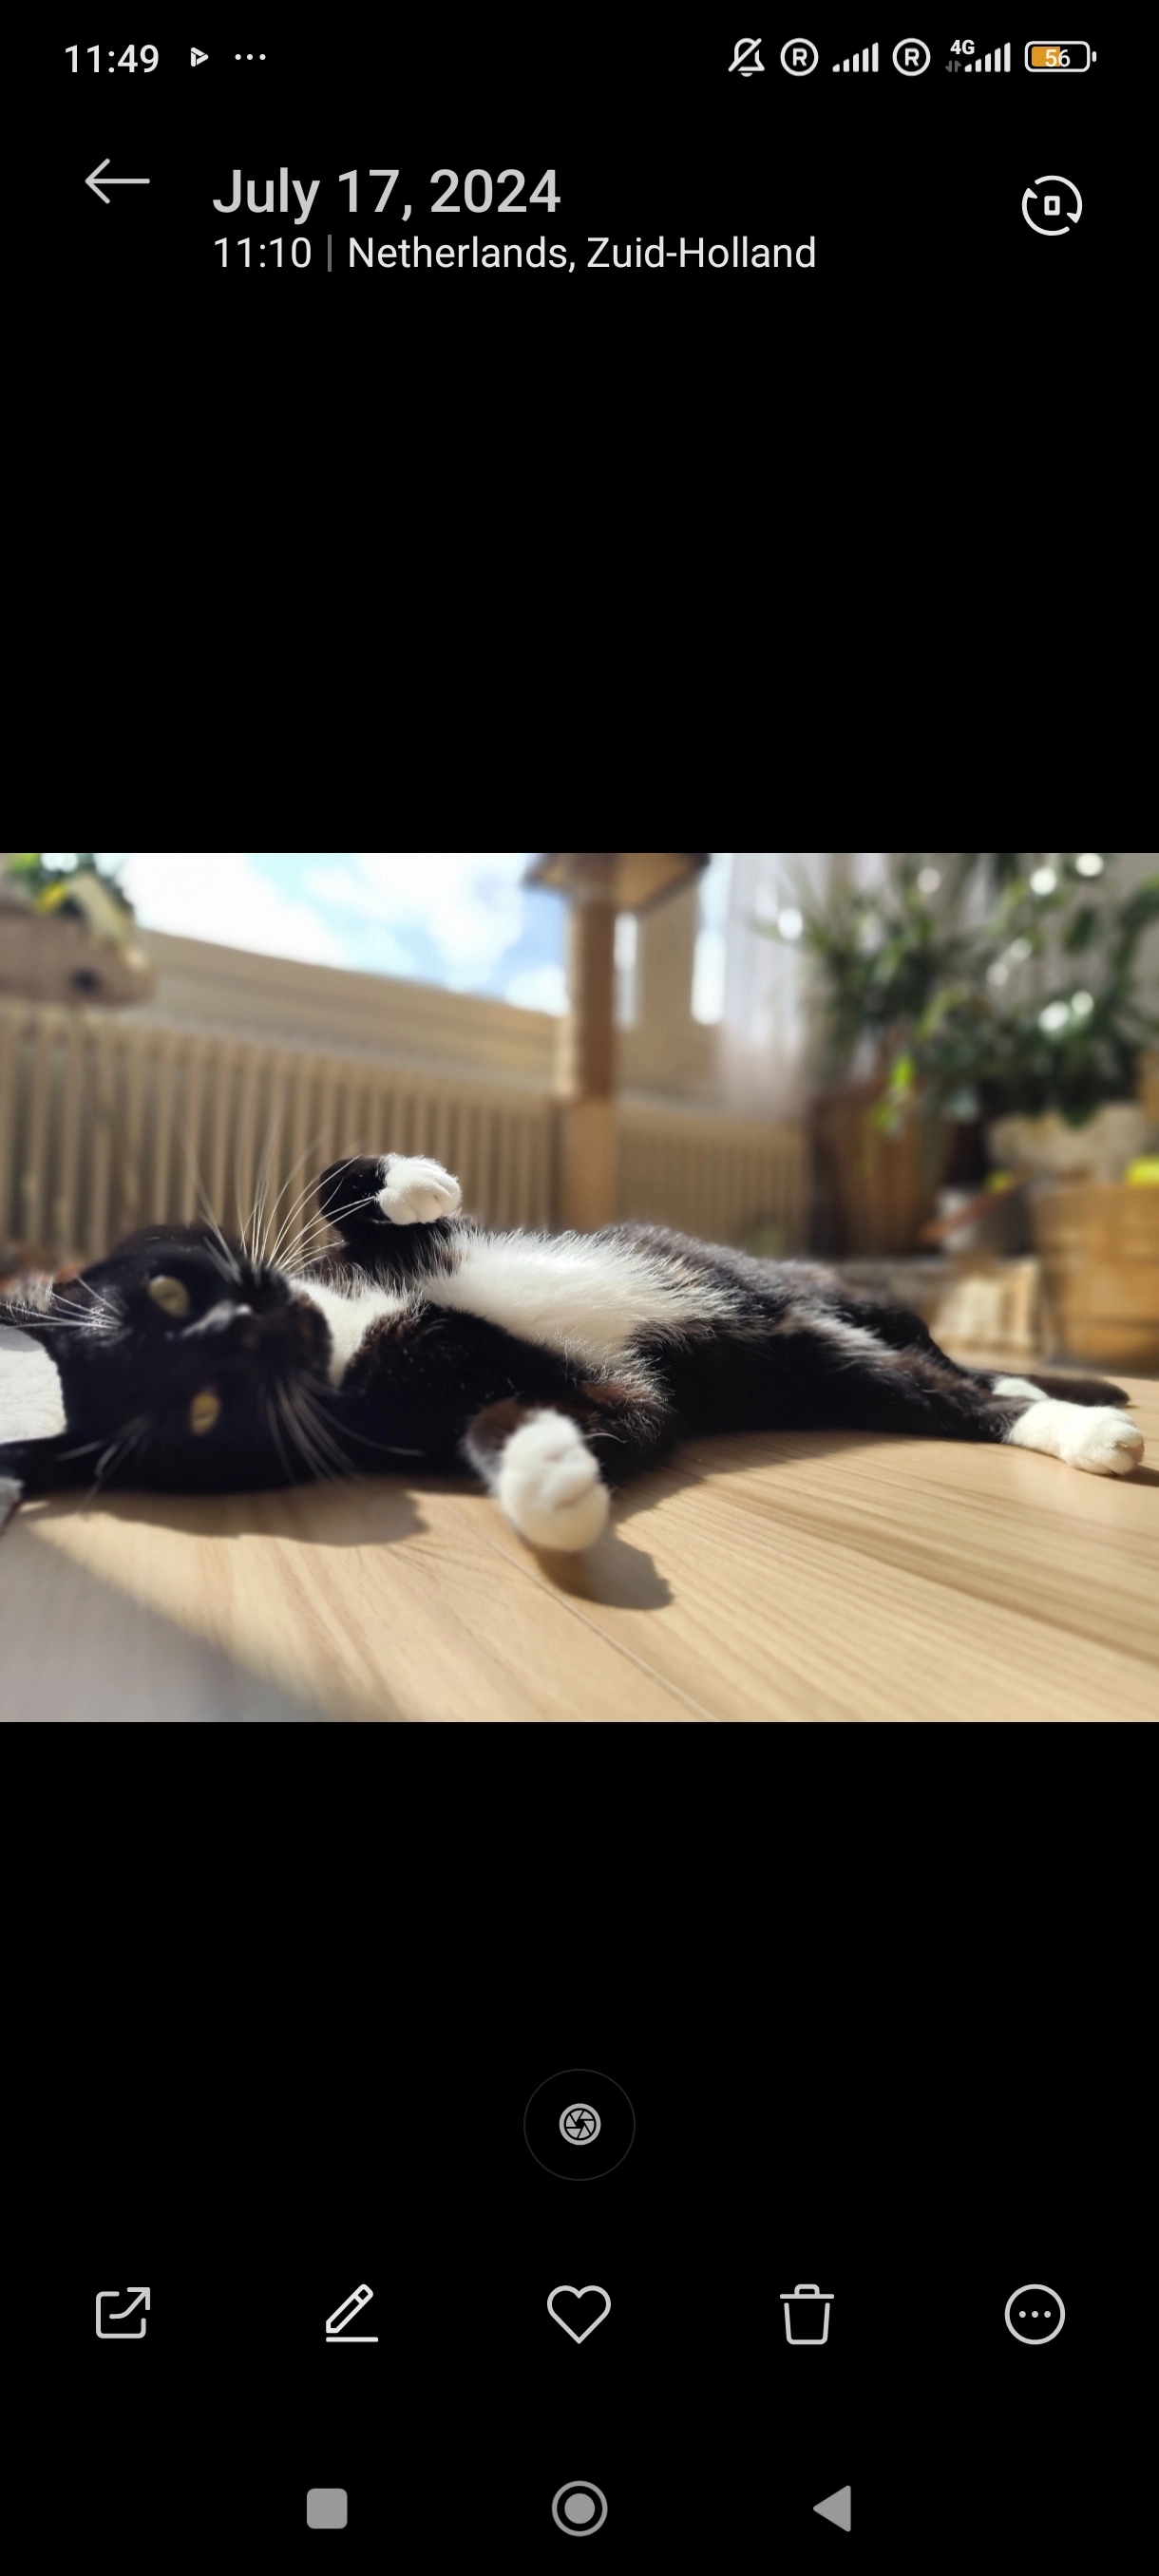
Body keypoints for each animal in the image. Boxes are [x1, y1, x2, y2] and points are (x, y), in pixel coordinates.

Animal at [0, 1151, 1144, 1548]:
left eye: (169, 1288)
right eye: (202, 1411)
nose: (245, 1330)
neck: (355, 1337)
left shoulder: (377, 1256)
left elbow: (346, 1184)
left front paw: (416, 1182)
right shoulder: (605, 1394)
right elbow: (562, 1420)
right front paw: (547, 1476)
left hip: (845, 1300)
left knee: (947, 1356)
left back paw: (1090, 1395)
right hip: (842, 1374)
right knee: (956, 1399)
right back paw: (1087, 1432)